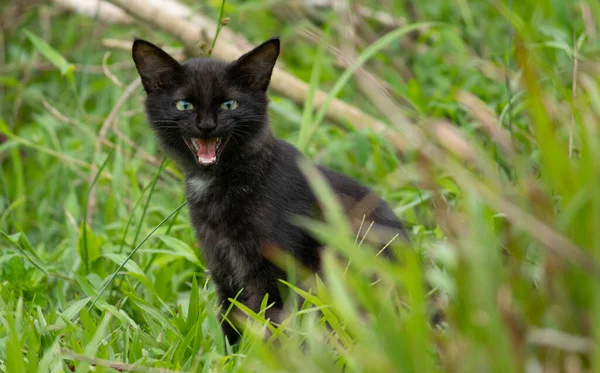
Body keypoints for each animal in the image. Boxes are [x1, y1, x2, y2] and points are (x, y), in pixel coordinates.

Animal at [132, 36, 408, 342]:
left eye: (229, 104)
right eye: (184, 105)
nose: (206, 126)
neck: (222, 182)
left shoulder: (275, 270)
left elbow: (268, 323)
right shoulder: (222, 265)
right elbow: (231, 317)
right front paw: (228, 351)